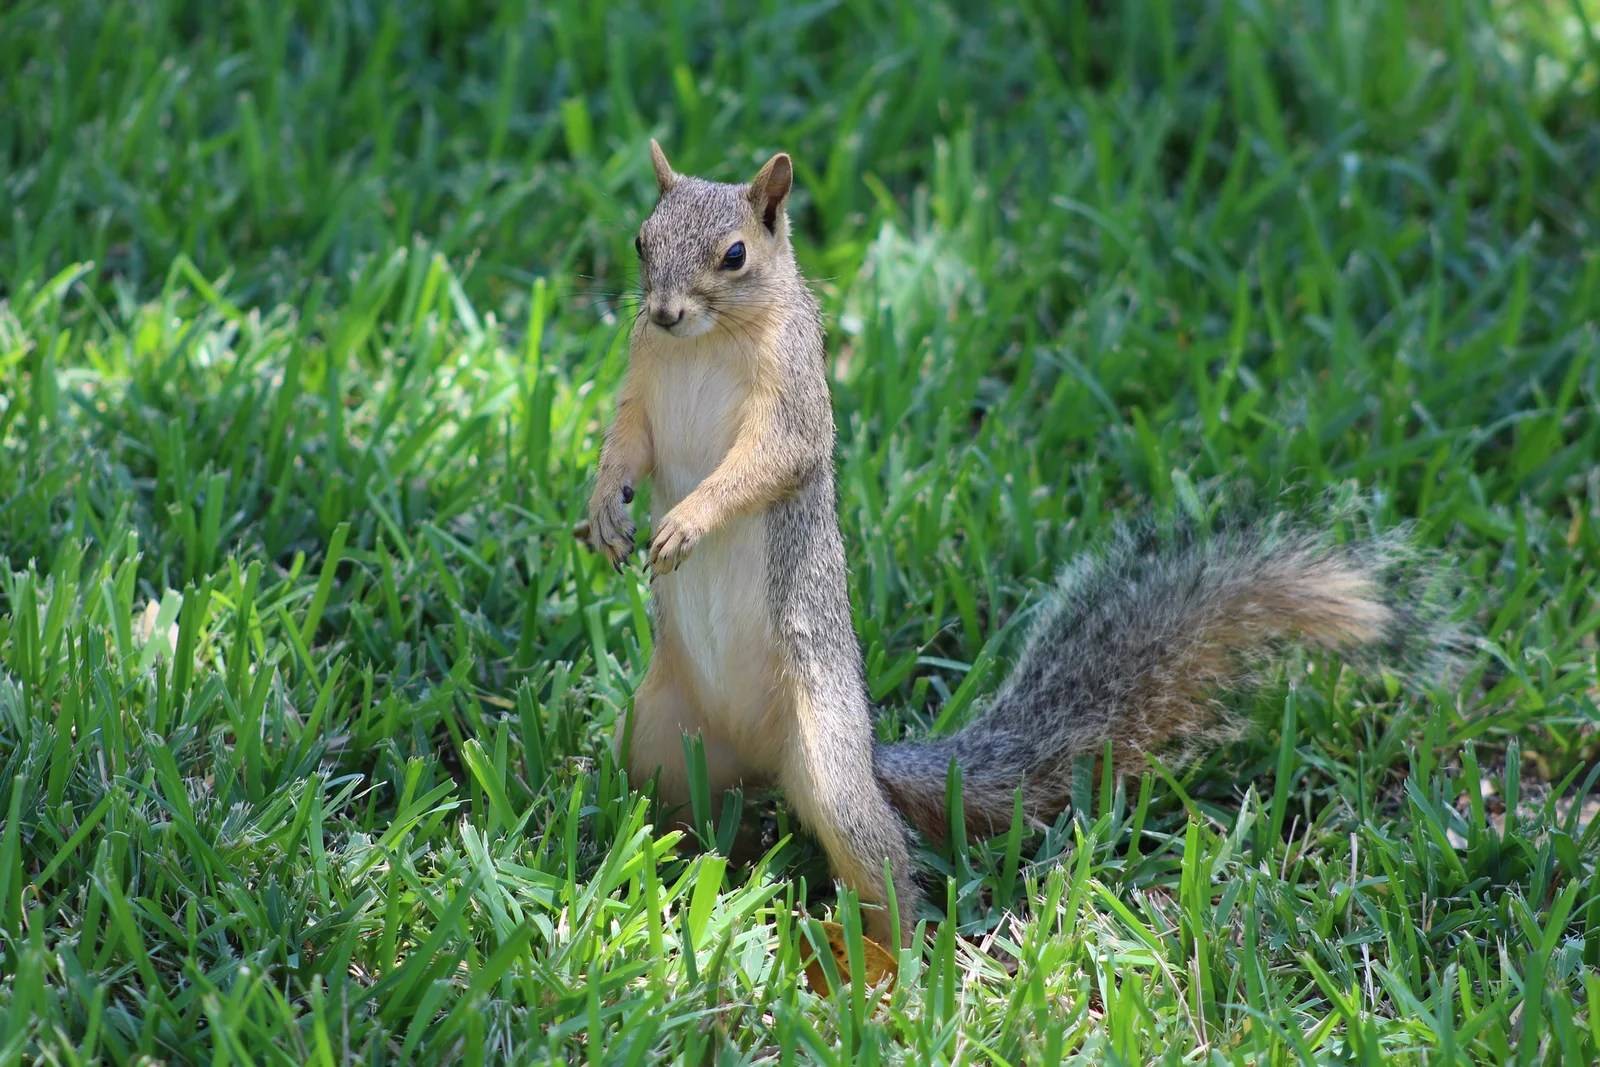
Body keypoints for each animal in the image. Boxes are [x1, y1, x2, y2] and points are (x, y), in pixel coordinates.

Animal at [576, 141, 1455, 950]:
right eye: (641, 240)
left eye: (735, 255)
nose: (663, 311)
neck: (701, 343)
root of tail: (854, 754)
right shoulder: (643, 379)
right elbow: (628, 445)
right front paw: (602, 512)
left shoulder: (790, 394)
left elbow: (767, 462)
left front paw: (688, 521)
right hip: (655, 737)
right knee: (687, 811)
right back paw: (660, 866)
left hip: (824, 755)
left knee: (885, 865)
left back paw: (876, 965)